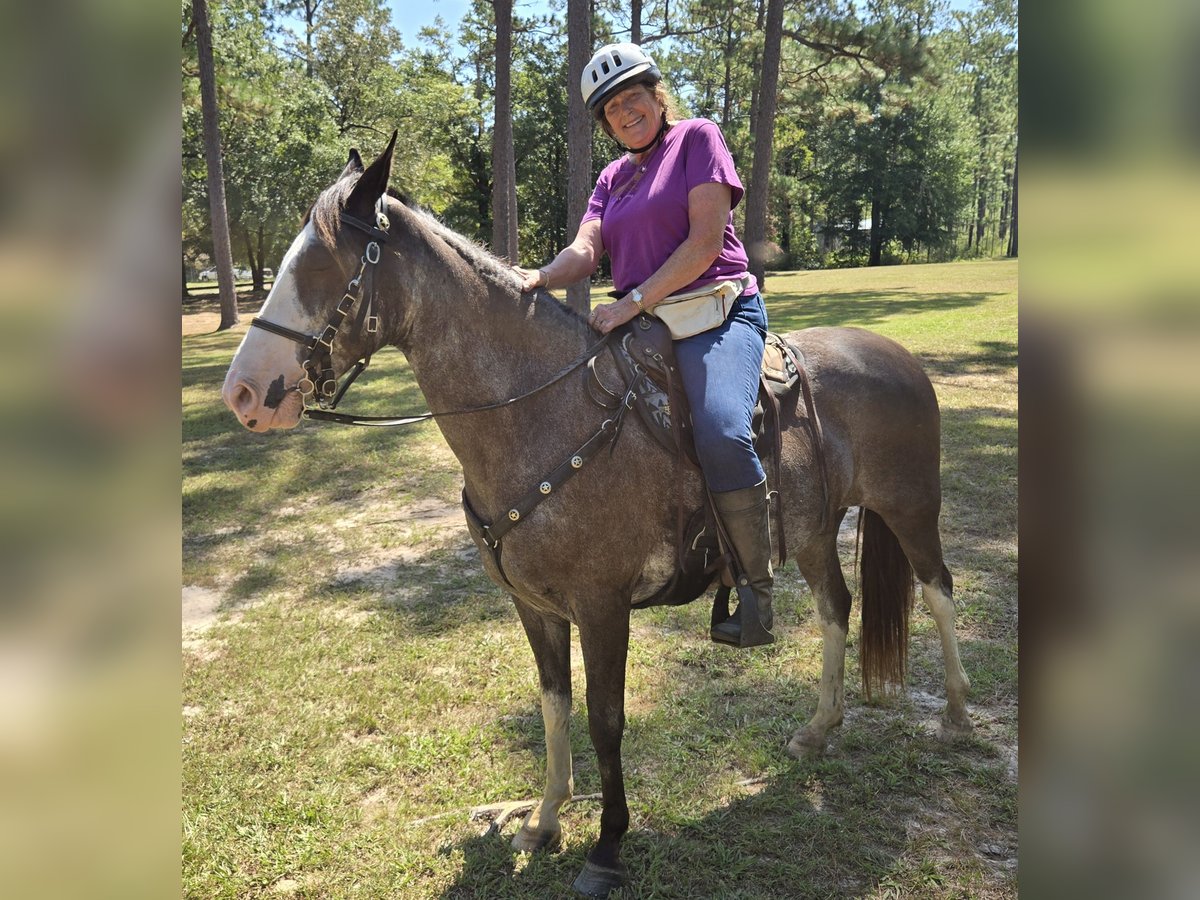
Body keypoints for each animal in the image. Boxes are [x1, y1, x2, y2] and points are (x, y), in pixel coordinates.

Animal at [221, 135, 973, 897]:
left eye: (321, 264)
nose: (243, 394)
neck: (544, 412)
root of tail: (898, 355)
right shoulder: (535, 607)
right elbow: (554, 707)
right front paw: (545, 820)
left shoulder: (602, 606)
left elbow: (606, 721)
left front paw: (608, 845)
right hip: (817, 529)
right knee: (835, 607)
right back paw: (819, 727)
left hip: (911, 508)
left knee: (938, 590)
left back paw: (958, 713)